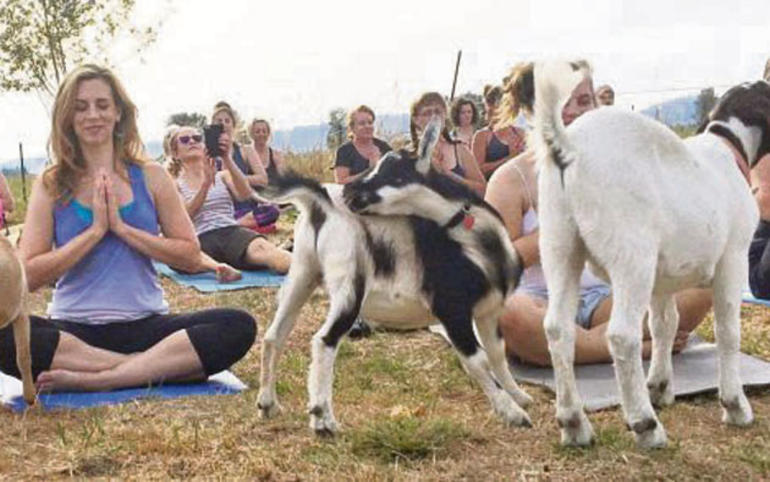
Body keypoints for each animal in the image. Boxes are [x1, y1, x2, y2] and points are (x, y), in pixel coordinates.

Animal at [255, 119, 533, 434]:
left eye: (394, 172)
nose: (349, 191)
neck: (475, 241)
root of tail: (320, 204)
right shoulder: (451, 308)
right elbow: (478, 361)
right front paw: (512, 413)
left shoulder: (489, 310)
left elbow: (497, 353)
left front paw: (519, 396)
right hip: (349, 284)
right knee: (324, 340)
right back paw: (323, 419)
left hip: (303, 272)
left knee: (274, 335)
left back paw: (268, 404)